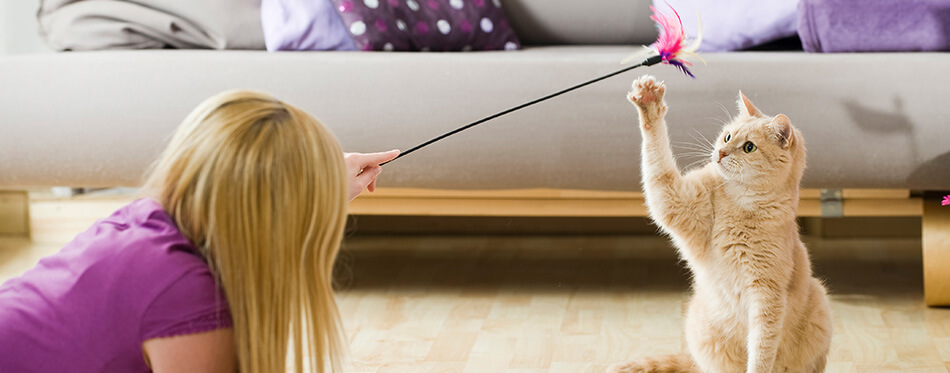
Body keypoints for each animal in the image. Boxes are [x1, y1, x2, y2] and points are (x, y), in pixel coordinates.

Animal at [608, 74, 832, 370]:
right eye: (727, 136)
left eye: (749, 147)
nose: (721, 153)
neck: (742, 205)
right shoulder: (675, 200)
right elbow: (658, 165)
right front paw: (649, 103)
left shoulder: (767, 296)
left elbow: (762, 348)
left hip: (820, 303)